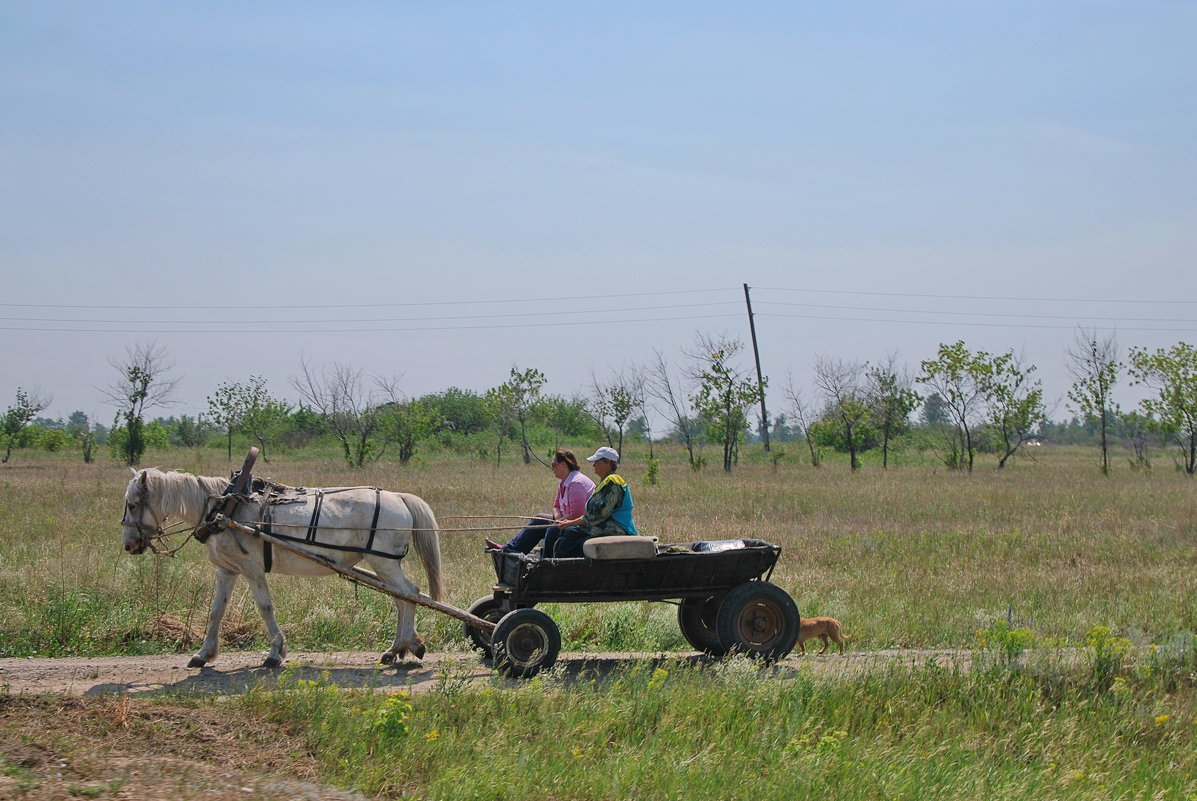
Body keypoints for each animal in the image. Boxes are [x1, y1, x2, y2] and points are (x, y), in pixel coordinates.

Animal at [121, 464, 445, 665]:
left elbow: (265, 608)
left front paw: (275, 653)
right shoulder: (227, 570)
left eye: (133, 505)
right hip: (382, 565)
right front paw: (204, 654)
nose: (128, 545)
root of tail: (399, 497)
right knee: (402, 598)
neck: (224, 508)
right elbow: (216, 611)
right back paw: (399, 648)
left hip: (383, 562)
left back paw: (404, 646)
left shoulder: (251, 569)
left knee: (409, 594)